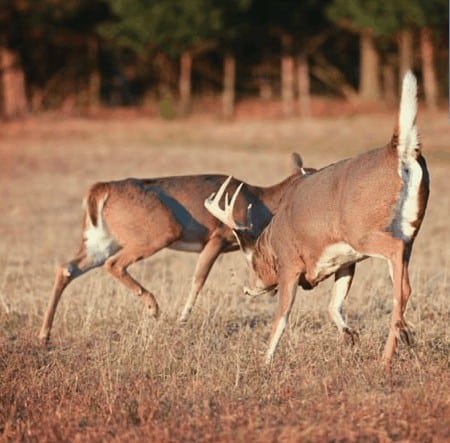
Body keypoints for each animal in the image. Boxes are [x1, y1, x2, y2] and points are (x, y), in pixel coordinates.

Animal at [38, 154, 314, 346]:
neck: (260, 203)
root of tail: (101, 189)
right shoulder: (218, 236)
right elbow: (198, 279)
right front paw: (182, 319)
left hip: (101, 238)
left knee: (67, 267)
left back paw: (44, 334)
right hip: (159, 230)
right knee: (114, 264)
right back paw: (153, 306)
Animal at [204, 72, 428, 372]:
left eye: (251, 263)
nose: (247, 289)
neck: (272, 240)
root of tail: (398, 150)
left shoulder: (290, 264)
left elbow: (281, 317)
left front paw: (265, 361)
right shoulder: (346, 261)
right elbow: (333, 304)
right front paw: (350, 336)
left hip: (365, 231)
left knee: (397, 270)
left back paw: (386, 356)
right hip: (409, 230)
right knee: (405, 283)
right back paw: (403, 337)